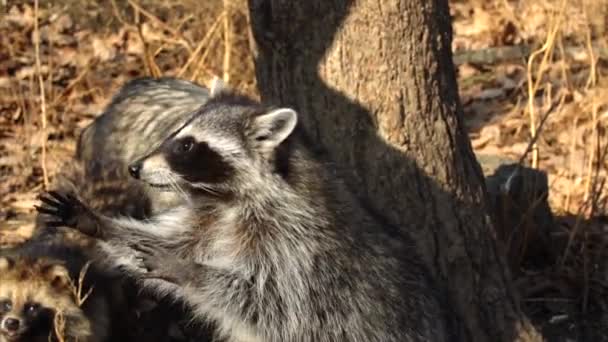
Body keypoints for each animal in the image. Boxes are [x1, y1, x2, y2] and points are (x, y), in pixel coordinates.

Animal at [36, 81, 446, 342]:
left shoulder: (297, 248)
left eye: (187, 145)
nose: (134, 168)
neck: (227, 200)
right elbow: (166, 241)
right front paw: (97, 223)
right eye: (173, 133)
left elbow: (267, 301)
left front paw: (191, 271)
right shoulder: (209, 219)